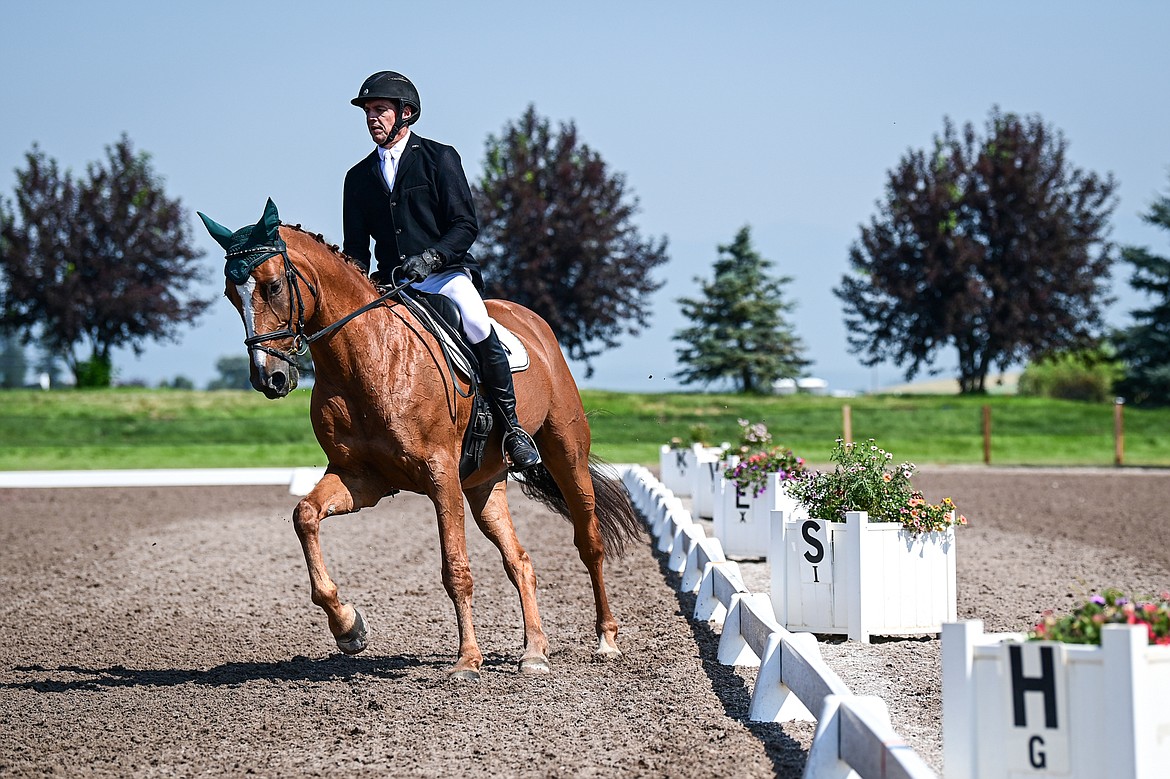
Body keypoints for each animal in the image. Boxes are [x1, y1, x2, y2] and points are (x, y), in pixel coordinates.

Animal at [198, 200, 641, 678]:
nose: (271, 379)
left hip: (566, 452)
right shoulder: (361, 479)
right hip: (484, 483)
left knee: (589, 543)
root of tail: (532, 320)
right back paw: (534, 652)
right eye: (230, 295)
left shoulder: (440, 475)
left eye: (274, 285)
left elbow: (455, 569)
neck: (366, 358)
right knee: (519, 560)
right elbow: (305, 516)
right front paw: (348, 627)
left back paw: (606, 640)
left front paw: (467, 660)